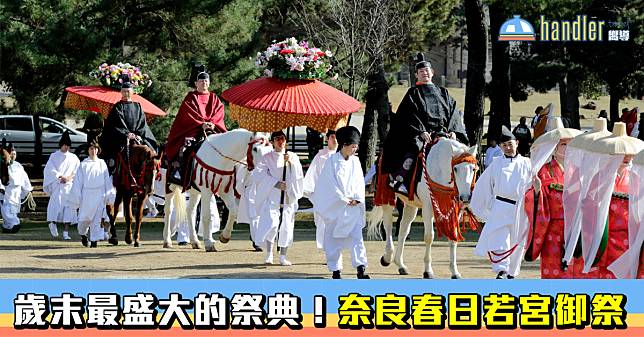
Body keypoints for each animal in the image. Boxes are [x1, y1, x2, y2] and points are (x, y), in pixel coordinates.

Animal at [368, 137, 478, 278]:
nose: (465, 197)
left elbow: (453, 237)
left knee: (404, 229)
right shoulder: (428, 207)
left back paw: (400, 264)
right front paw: (428, 271)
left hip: (411, 203)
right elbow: (429, 237)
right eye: (456, 169)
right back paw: (387, 257)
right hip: (386, 194)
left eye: (473, 169)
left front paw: (454, 271)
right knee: (387, 224)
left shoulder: (454, 209)